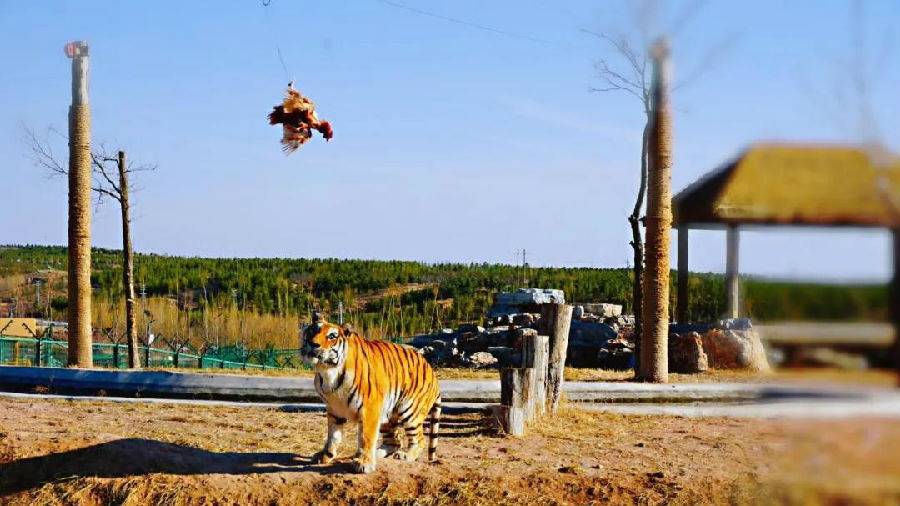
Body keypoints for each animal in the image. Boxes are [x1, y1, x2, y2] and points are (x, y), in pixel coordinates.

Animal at [302, 312, 442, 474]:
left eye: (332, 336)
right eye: (313, 331)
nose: (313, 344)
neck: (328, 370)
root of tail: (432, 372)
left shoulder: (370, 408)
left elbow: (366, 437)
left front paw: (365, 463)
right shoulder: (334, 409)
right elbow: (333, 436)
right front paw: (325, 455)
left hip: (410, 410)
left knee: (419, 439)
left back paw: (406, 455)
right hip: (387, 415)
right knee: (394, 441)